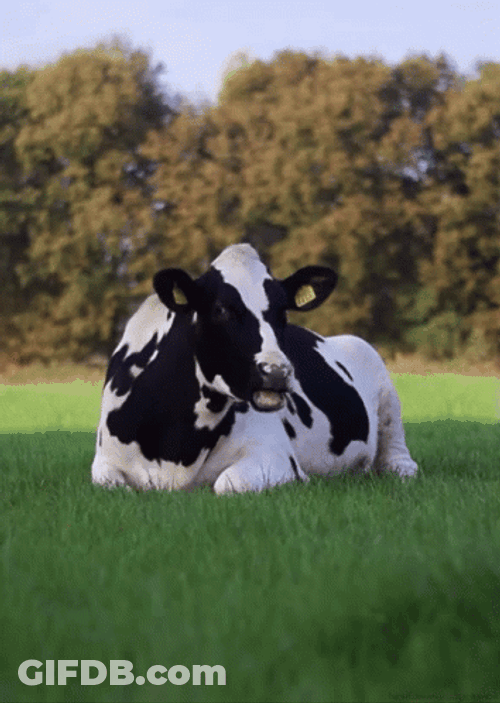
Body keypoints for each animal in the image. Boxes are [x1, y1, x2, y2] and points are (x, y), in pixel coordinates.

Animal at [91, 244, 417, 494]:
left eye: (283, 311)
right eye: (221, 309)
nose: (276, 372)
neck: (177, 445)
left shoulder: (276, 456)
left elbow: (226, 483)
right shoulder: (103, 464)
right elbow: (112, 485)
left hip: (385, 389)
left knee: (399, 458)